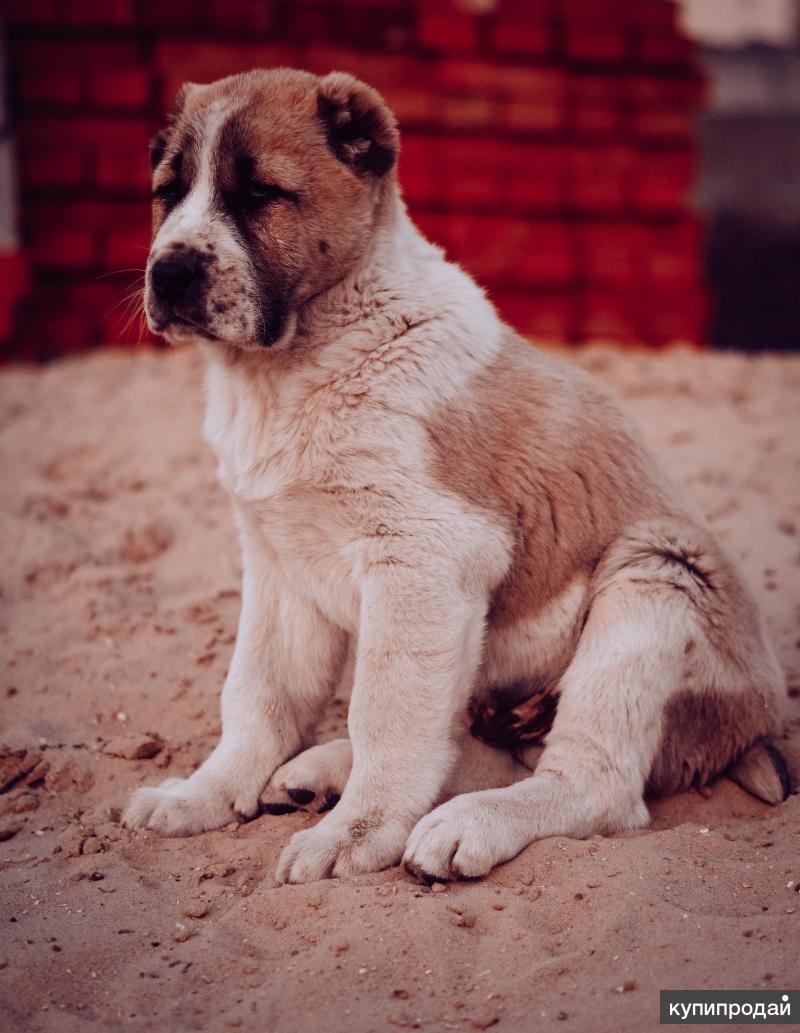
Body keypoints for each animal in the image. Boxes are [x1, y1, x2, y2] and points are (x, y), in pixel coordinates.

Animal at [121, 68, 793, 884]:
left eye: (259, 195)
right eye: (167, 192)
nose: (170, 272)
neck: (295, 364)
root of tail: (759, 727)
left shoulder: (427, 554)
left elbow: (386, 711)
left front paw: (354, 834)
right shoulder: (278, 563)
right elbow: (257, 693)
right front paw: (205, 794)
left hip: (658, 576)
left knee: (595, 785)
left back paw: (465, 822)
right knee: (494, 750)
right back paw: (324, 773)